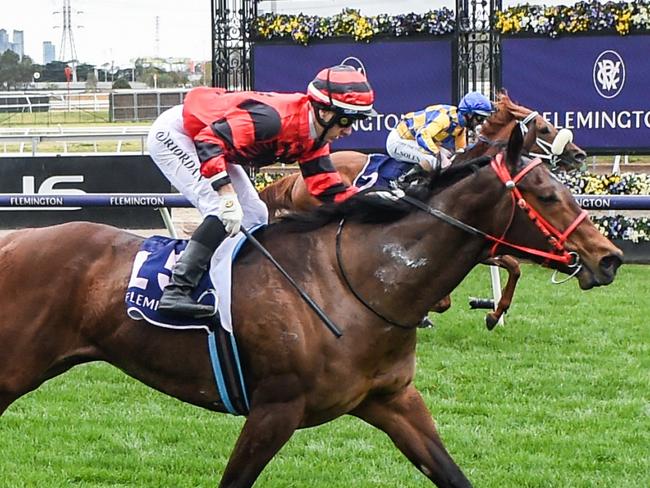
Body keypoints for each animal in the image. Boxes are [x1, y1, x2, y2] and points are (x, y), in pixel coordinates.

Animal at [0, 124, 616, 486]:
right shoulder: (275, 409)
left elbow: (450, 473)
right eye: (546, 194)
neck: (356, 285)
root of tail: (12, 240)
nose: (608, 257)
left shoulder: (393, 401)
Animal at [260, 91, 588, 328]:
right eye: (545, 128)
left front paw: (493, 314)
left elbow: (515, 267)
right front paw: (441, 309)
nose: (579, 154)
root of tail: (294, 179)